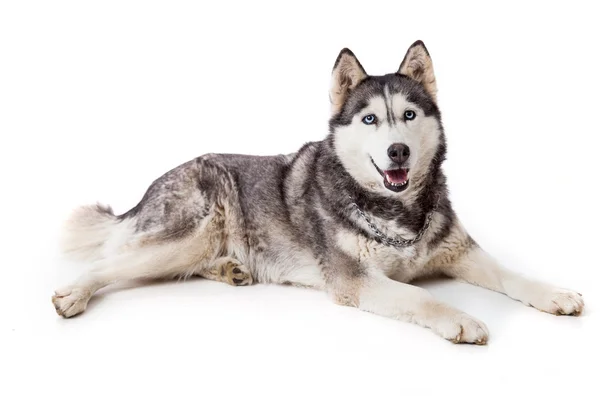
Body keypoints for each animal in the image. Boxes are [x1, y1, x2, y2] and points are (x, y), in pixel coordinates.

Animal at [54, 40, 584, 344]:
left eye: (409, 115)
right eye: (369, 119)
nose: (397, 151)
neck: (395, 212)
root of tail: (148, 189)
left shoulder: (458, 249)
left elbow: (511, 274)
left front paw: (554, 293)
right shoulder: (357, 280)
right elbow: (420, 296)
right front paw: (460, 318)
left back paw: (229, 269)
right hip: (189, 231)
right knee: (109, 263)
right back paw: (73, 293)